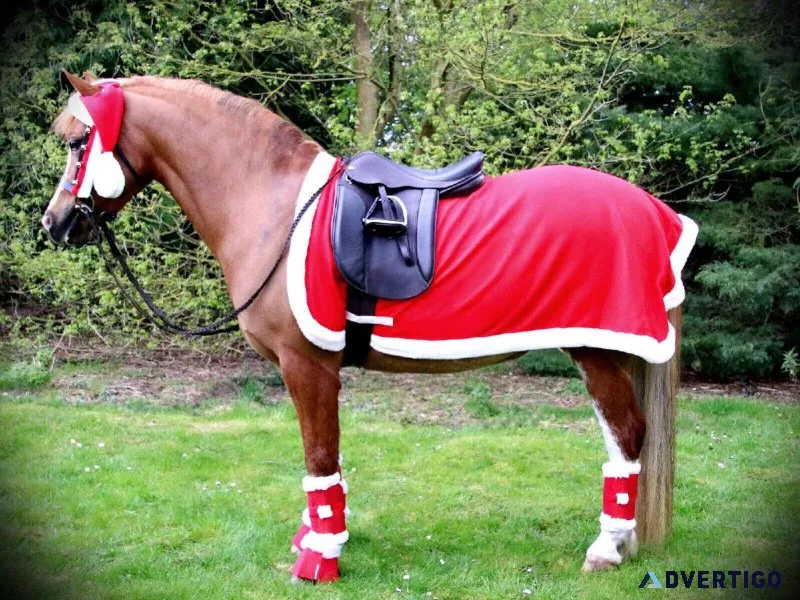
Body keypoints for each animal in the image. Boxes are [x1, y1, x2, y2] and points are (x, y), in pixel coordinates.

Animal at [42, 70, 696, 582]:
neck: (272, 205)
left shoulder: (307, 364)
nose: (54, 224)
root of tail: (656, 212)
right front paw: (314, 537)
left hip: (595, 348)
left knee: (627, 434)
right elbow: (317, 461)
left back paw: (606, 549)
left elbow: (319, 456)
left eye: (78, 142)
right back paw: (622, 541)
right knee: (618, 439)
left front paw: (320, 559)